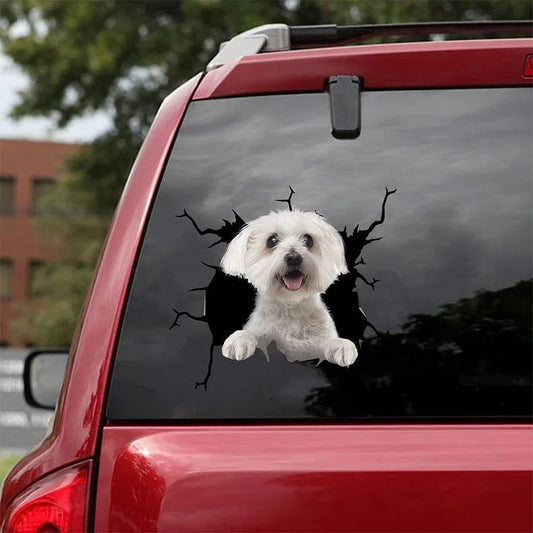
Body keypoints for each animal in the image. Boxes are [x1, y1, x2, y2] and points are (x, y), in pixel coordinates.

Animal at [220, 208, 358, 366]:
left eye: (308, 240)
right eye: (272, 240)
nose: (293, 257)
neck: (291, 306)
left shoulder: (317, 340)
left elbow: (329, 342)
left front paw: (340, 345)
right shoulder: (262, 330)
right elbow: (251, 333)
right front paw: (239, 339)